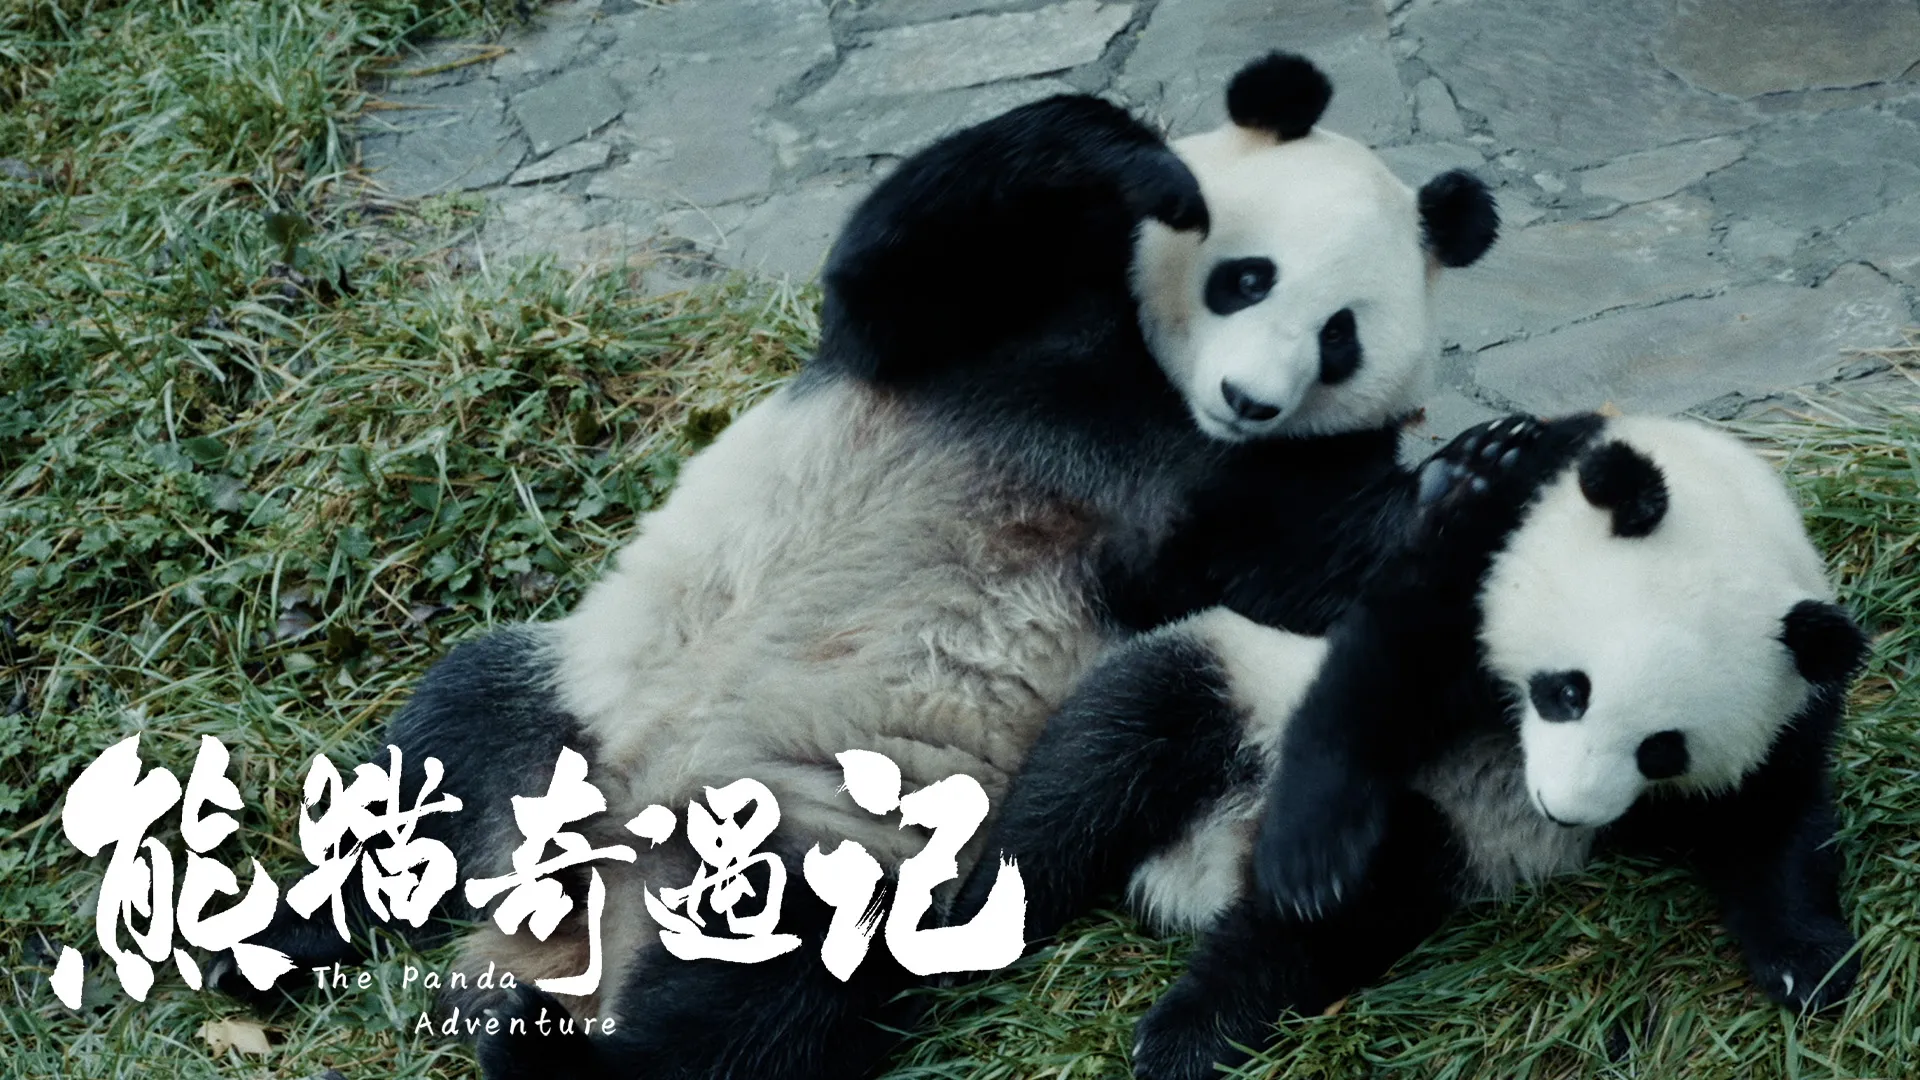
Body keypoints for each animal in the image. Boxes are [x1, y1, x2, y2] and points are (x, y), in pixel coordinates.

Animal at [215, 55, 1499, 1080]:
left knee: (760, 1001)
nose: (1251, 397)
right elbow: (894, 262)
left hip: (799, 836)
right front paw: (1127, 155)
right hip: (573, 701)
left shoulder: (1258, 496)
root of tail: (573, 896)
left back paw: (543, 1051)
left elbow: (1275, 574)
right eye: (1246, 277)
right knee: (431, 762)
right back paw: (268, 940)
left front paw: (1473, 479)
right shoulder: (1007, 326)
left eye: (1341, 336)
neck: (1157, 401)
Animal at [963, 412, 1871, 1080]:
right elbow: (1370, 660)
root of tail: (1197, 867)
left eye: (1661, 751)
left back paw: (1194, 1029)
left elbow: (1770, 814)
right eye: (1566, 690)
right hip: (1224, 672)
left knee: (1325, 923)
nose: (1562, 811)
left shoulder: (1794, 693)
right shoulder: (1477, 557)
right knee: (1087, 779)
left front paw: (1808, 963)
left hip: (1430, 836)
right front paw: (1311, 852)